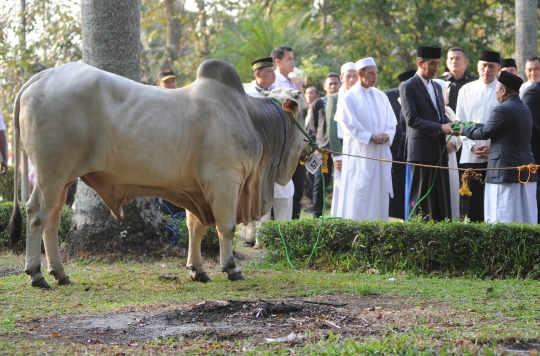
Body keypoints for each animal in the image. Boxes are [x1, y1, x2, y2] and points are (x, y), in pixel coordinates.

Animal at [8, 58, 306, 288]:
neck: (251, 118)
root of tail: (42, 77)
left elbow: (195, 228)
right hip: (50, 174)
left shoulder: (198, 188)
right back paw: (36, 274)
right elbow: (226, 226)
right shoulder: (225, 180)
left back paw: (60, 274)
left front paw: (198, 270)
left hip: (62, 179)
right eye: (303, 110)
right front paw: (231, 268)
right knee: (37, 214)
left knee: (53, 220)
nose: (311, 147)